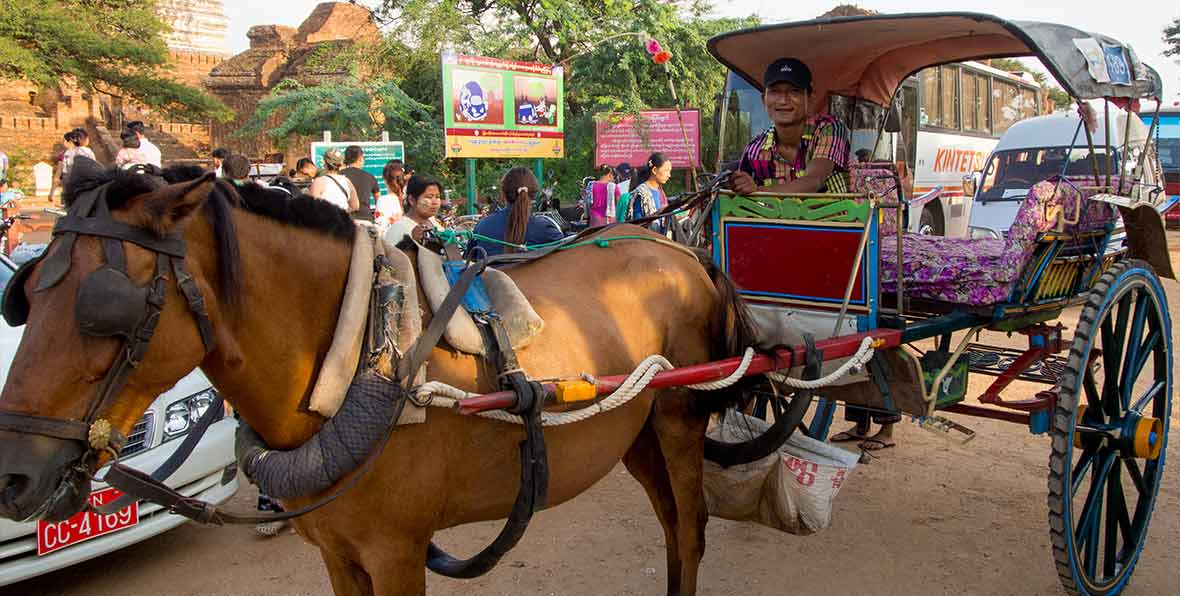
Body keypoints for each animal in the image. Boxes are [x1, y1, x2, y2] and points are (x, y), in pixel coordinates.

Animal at [0, 164, 755, 595]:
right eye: (26, 294)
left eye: (107, 308)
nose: (13, 475)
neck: (356, 347)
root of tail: (679, 250)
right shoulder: (338, 554)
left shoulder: (396, 554)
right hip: (636, 431)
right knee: (671, 526)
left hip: (679, 419)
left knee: (690, 530)